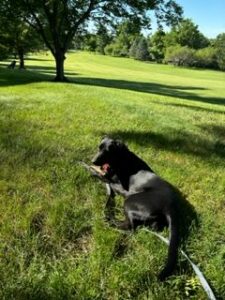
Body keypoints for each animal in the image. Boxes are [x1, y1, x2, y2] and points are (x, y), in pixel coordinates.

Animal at [91, 137, 179, 280]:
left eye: (108, 151)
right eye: (99, 148)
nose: (93, 161)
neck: (122, 159)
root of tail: (170, 206)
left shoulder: (119, 186)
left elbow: (102, 176)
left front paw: (90, 169)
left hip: (129, 202)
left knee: (130, 228)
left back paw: (110, 221)